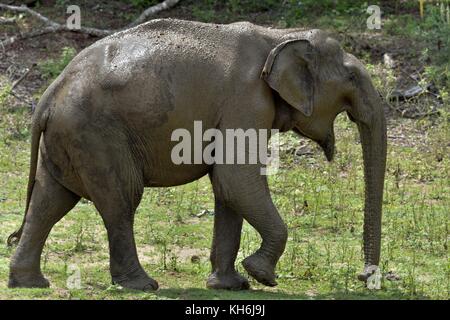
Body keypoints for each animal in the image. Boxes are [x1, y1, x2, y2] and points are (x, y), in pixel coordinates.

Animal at [6, 18, 386, 292]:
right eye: (352, 77)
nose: (364, 277)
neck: (279, 35)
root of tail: (49, 93)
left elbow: (228, 186)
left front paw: (231, 285)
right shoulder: (246, 101)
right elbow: (236, 179)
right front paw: (262, 276)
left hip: (69, 137)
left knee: (50, 200)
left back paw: (29, 282)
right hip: (96, 135)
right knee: (121, 200)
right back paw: (142, 285)